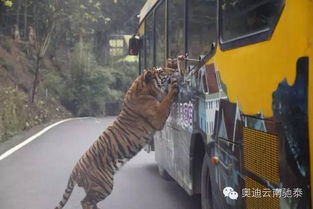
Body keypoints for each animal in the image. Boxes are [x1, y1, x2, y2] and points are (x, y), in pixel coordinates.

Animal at [54, 66, 178, 209]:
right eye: (162, 71)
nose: (174, 70)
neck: (142, 87)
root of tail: (74, 170)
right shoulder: (158, 116)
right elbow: (167, 100)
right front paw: (174, 86)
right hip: (104, 185)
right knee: (85, 202)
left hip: (96, 187)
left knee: (88, 201)